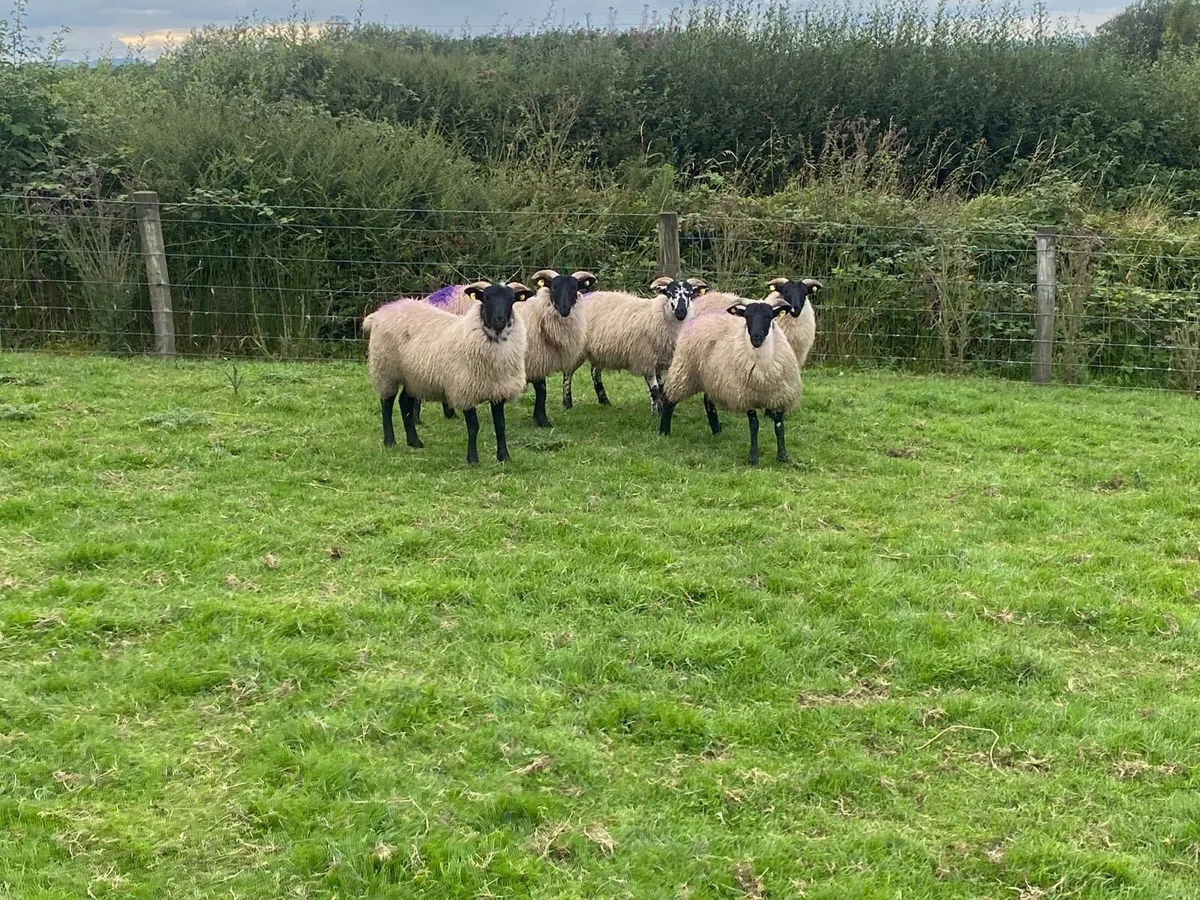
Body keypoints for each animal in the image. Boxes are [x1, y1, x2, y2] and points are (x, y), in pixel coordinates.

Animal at [363, 280, 535, 464]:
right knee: (387, 403)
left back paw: (414, 441)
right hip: (387, 370)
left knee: (404, 402)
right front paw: (472, 459)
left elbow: (500, 426)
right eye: (486, 298)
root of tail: (385, 309)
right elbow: (473, 426)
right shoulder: (465, 390)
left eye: (511, 300)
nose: (499, 320)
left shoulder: (498, 390)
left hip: (413, 376)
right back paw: (390, 441)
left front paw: (504, 457)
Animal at [562, 276, 702, 413]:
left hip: (599, 351)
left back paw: (604, 401)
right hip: (578, 349)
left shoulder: (662, 363)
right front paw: (656, 413)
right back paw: (567, 403)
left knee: (595, 372)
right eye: (669, 293)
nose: (681, 312)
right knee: (568, 373)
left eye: (690, 294)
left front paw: (657, 409)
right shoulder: (646, 359)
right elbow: (655, 389)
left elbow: (661, 389)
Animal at [658, 300, 799, 465]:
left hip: (711, 376)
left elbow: (779, 427)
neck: (762, 369)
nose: (756, 337)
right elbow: (754, 426)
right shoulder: (745, 396)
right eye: (747, 317)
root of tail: (704, 316)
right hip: (684, 370)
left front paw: (783, 456)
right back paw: (664, 431)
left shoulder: (780, 397)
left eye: (768, 317)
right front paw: (753, 457)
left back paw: (716, 431)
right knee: (669, 399)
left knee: (708, 402)